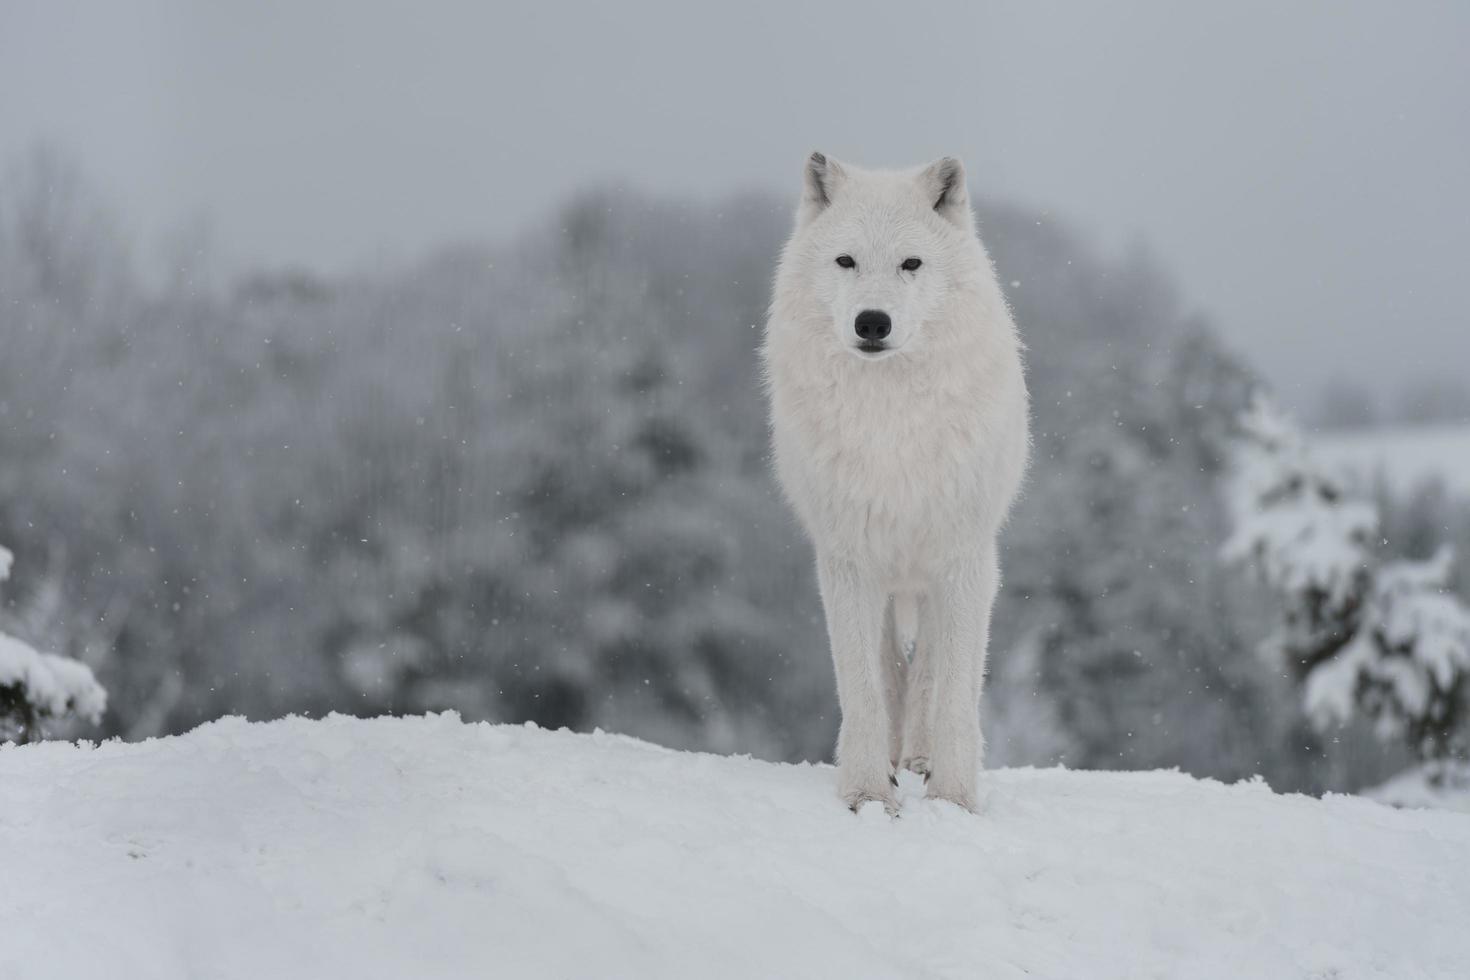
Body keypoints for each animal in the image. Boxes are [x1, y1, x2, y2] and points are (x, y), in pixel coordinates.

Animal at [764, 151, 1029, 811]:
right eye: (846, 261)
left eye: (911, 263)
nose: (872, 322)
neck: (891, 426)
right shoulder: (847, 561)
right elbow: (863, 687)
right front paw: (865, 792)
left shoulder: (965, 560)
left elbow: (955, 693)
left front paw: (954, 798)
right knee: (890, 668)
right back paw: (891, 760)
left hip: (935, 579)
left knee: (929, 671)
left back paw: (918, 758)